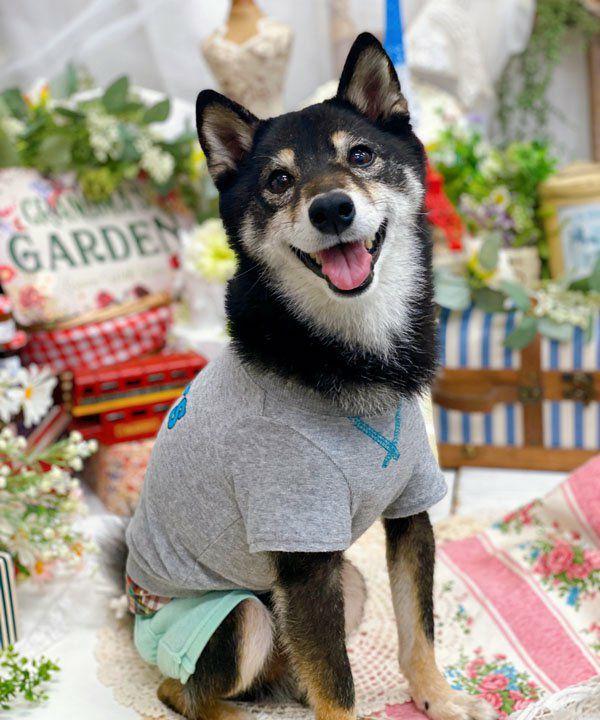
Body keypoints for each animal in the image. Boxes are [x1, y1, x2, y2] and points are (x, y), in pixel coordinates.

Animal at [119, 32, 497, 720]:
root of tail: (132, 606)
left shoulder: (410, 513)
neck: (355, 352)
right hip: (241, 617)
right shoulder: (301, 545)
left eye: (362, 155)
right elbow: (338, 686)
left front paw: (439, 699)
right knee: (182, 688)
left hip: (347, 583)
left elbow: (417, 631)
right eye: (279, 180)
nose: (332, 208)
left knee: (293, 662)